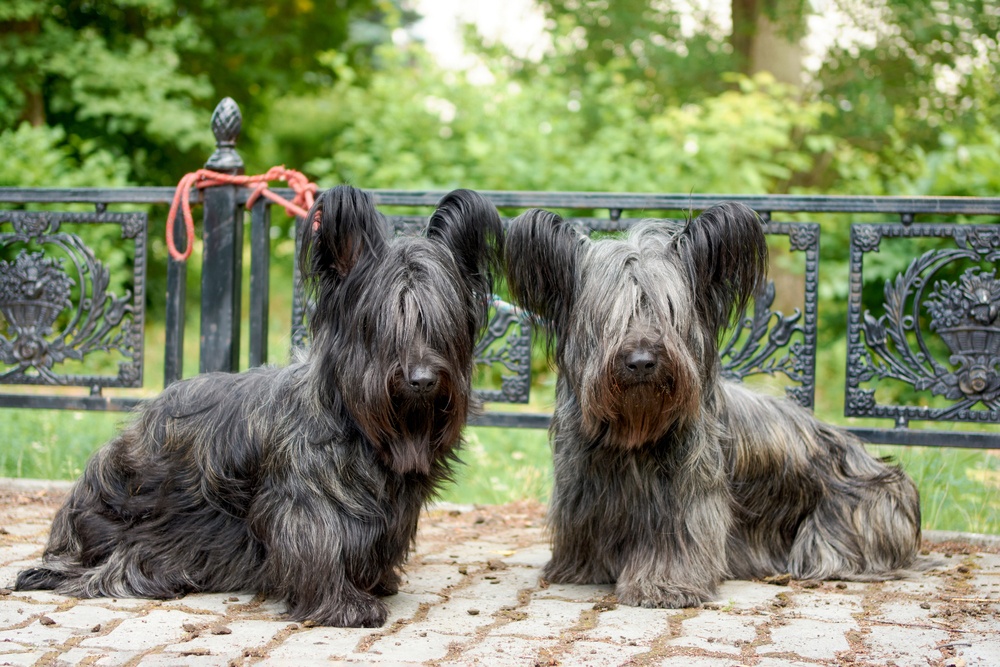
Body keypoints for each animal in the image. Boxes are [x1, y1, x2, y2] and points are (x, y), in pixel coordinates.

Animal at [11, 185, 504, 628]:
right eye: (385, 325)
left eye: (440, 324)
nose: (421, 380)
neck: (358, 423)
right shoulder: (303, 500)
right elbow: (318, 544)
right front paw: (344, 604)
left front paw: (377, 582)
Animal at [508, 205, 920, 612]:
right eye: (611, 314)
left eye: (669, 311)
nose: (641, 361)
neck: (635, 434)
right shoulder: (582, 494)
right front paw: (583, 569)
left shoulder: (688, 499)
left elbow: (680, 538)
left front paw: (666, 585)